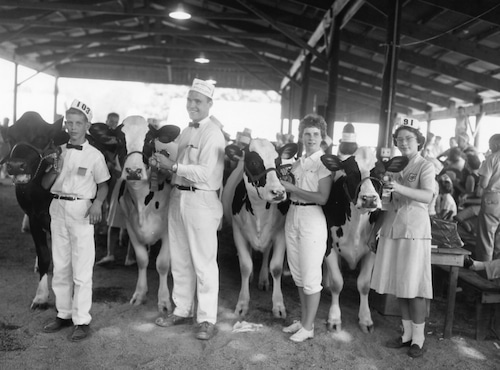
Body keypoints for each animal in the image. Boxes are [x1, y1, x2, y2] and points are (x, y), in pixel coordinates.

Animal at [0, 112, 67, 310]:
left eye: (39, 138)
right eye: (11, 139)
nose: (16, 165)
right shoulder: (34, 217)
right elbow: (44, 254)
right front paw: (41, 297)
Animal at [113, 115, 180, 312]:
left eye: (150, 140)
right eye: (119, 140)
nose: (133, 171)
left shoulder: (169, 230)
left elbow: (162, 264)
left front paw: (164, 300)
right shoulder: (131, 226)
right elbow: (142, 260)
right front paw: (140, 294)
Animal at [223, 140, 296, 320]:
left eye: (278, 162)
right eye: (253, 162)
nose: (278, 192)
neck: (259, 210)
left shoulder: (280, 233)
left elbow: (276, 268)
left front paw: (278, 305)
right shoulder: (238, 232)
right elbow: (245, 266)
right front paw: (242, 304)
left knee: (266, 252)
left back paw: (263, 279)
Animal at [318, 147, 408, 332]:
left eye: (381, 173)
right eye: (351, 172)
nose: (369, 199)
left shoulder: (373, 248)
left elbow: (364, 285)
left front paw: (366, 319)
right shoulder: (329, 246)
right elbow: (338, 282)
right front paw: (334, 318)